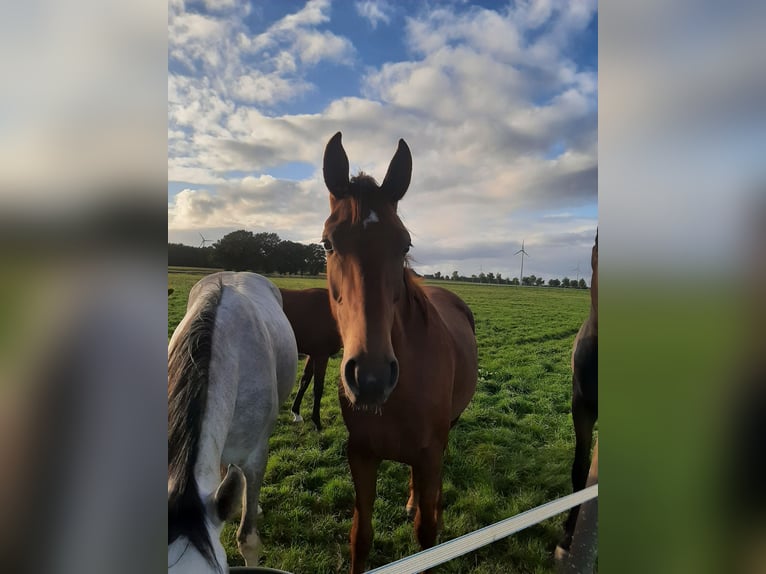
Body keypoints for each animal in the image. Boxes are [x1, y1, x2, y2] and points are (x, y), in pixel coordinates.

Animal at [280, 288, 344, 432]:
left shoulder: (313, 355)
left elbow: (304, 382)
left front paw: (296, 412)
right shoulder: (321, 355)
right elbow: (318, 388)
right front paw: (317, 423)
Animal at [320, 133, 476, 572]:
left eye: (404, 243)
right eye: (328, 243)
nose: (370, 377)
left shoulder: (430, 453)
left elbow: (427, 536)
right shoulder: (360, 455)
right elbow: (360, 537)